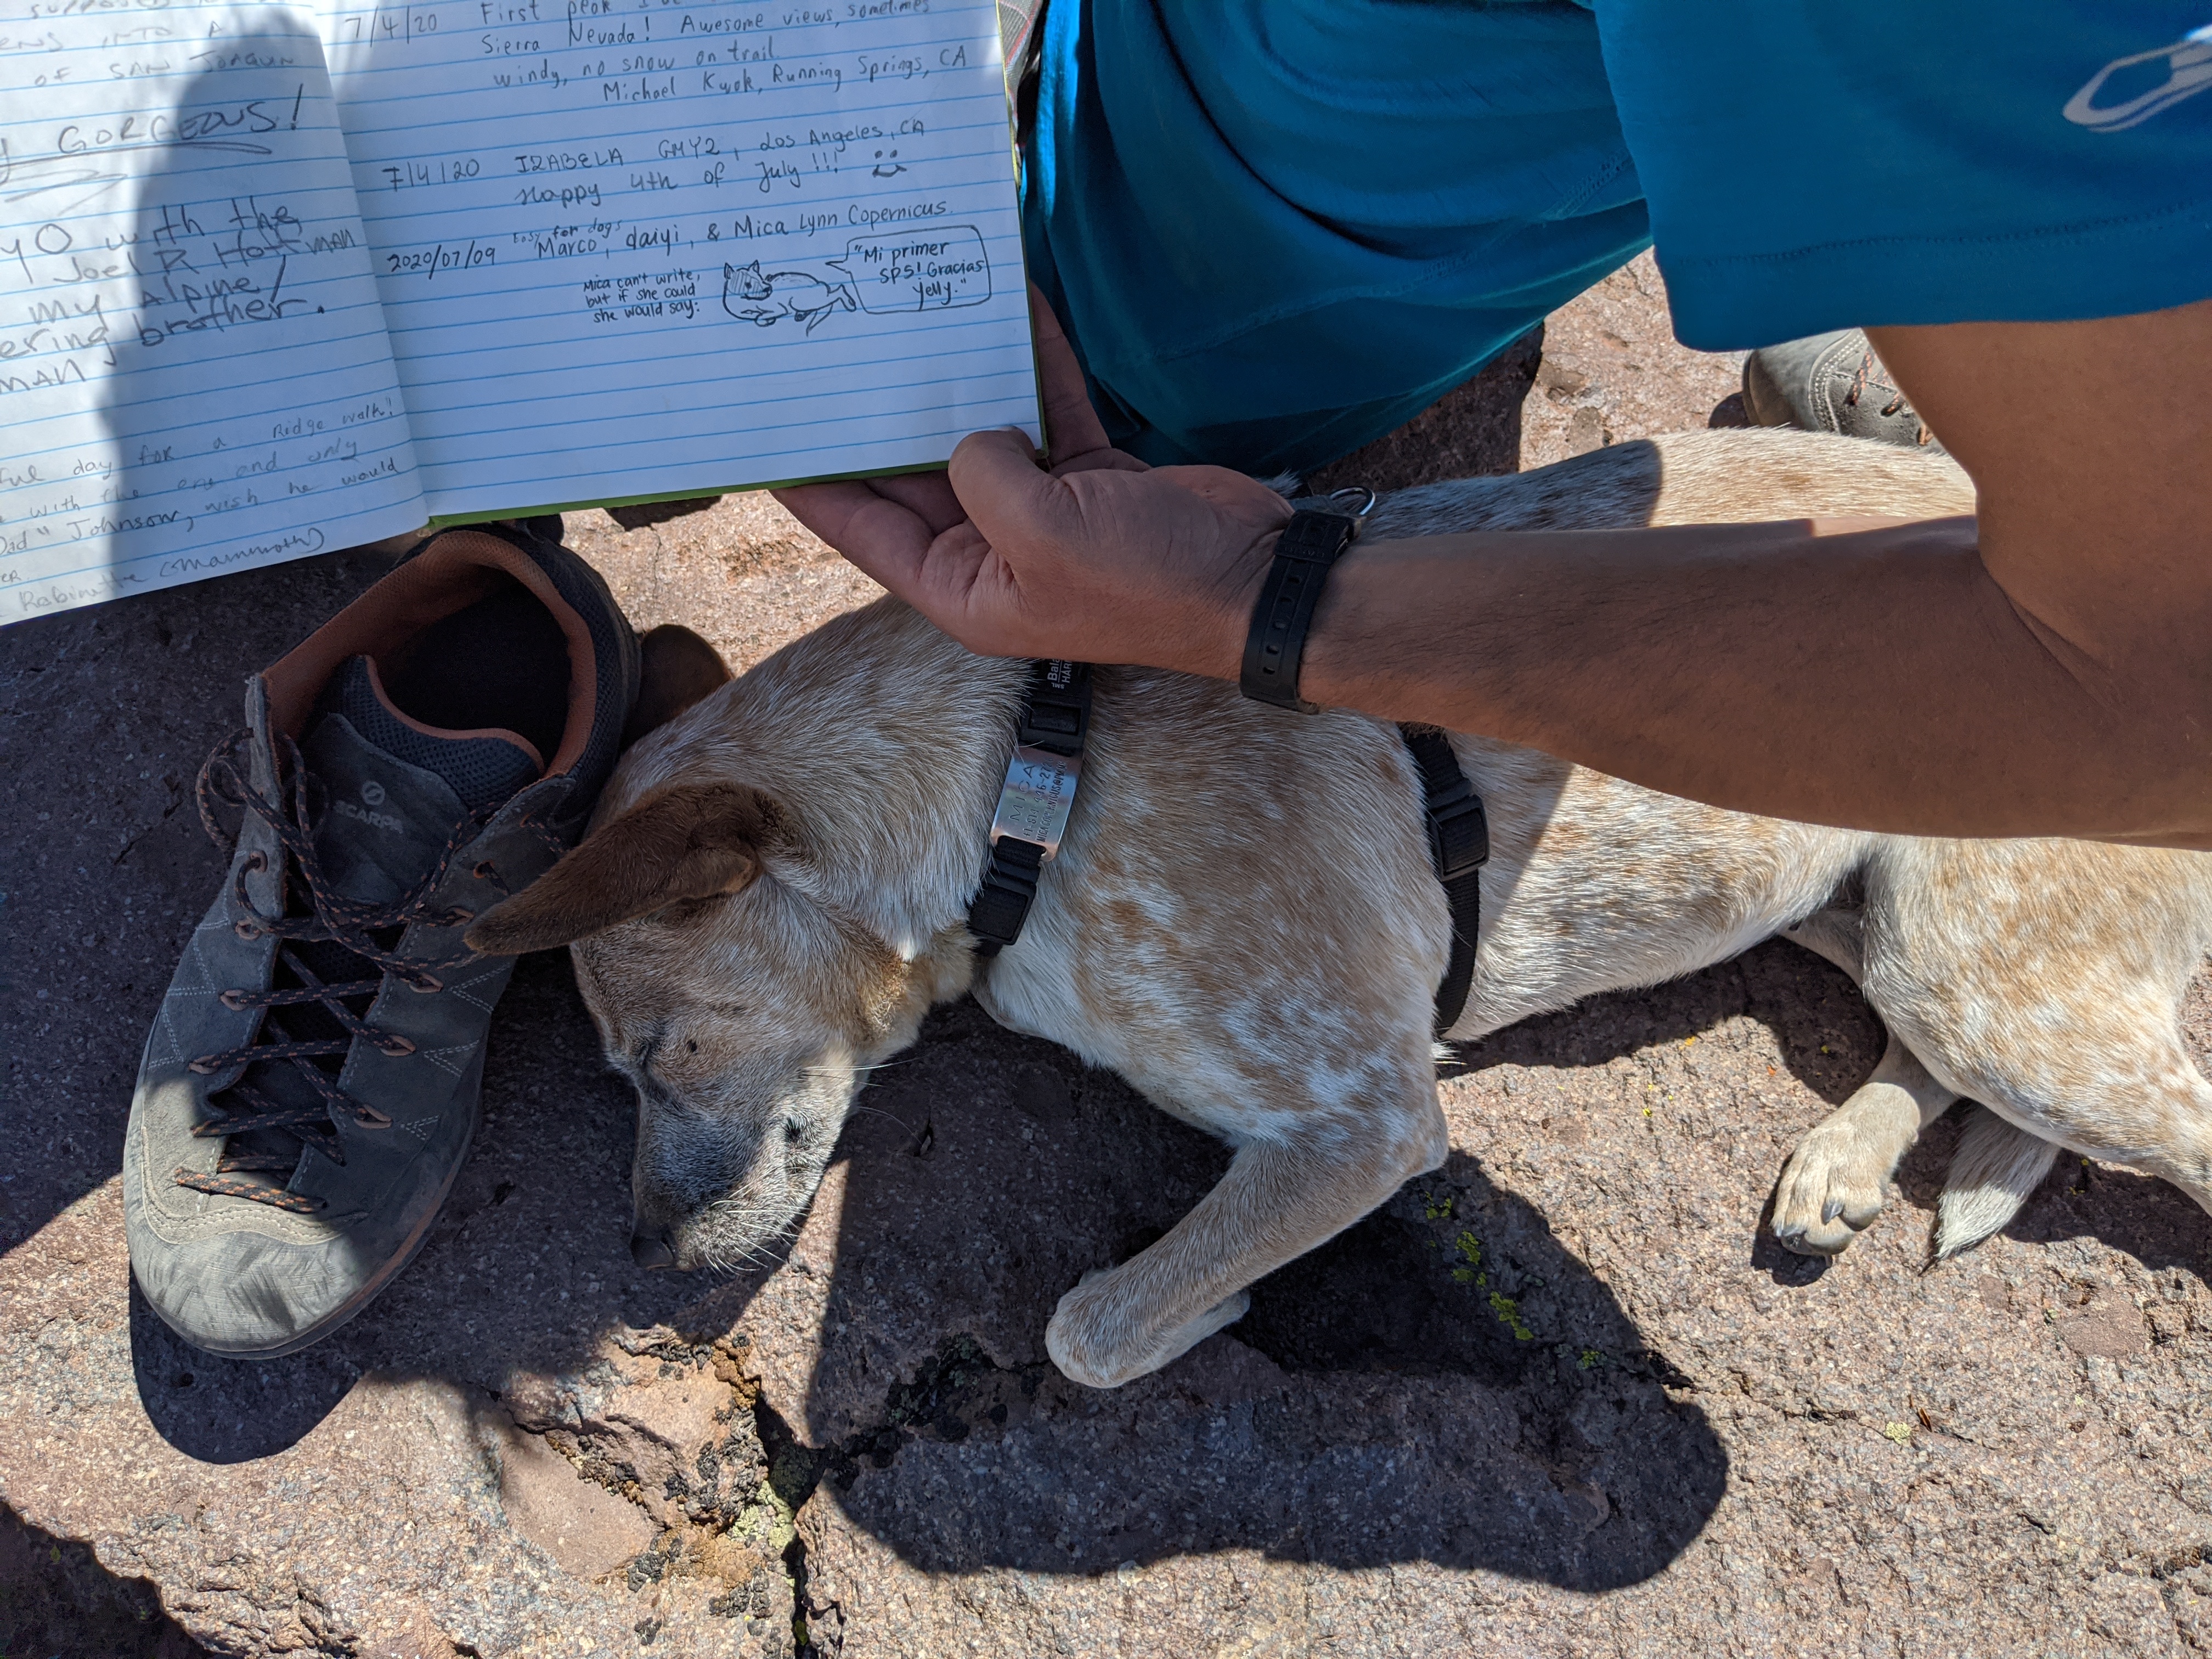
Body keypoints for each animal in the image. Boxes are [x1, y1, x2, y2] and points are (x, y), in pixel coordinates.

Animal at [466, 429, 2212, 1389]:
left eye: (660, 1054)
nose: (638, 1259)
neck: (1031, 772)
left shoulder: (1368, 1125)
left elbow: (1087, 1327)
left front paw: (1213, 1296)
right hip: (1865, 922)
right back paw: (1849, 1161)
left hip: (1996, 981)